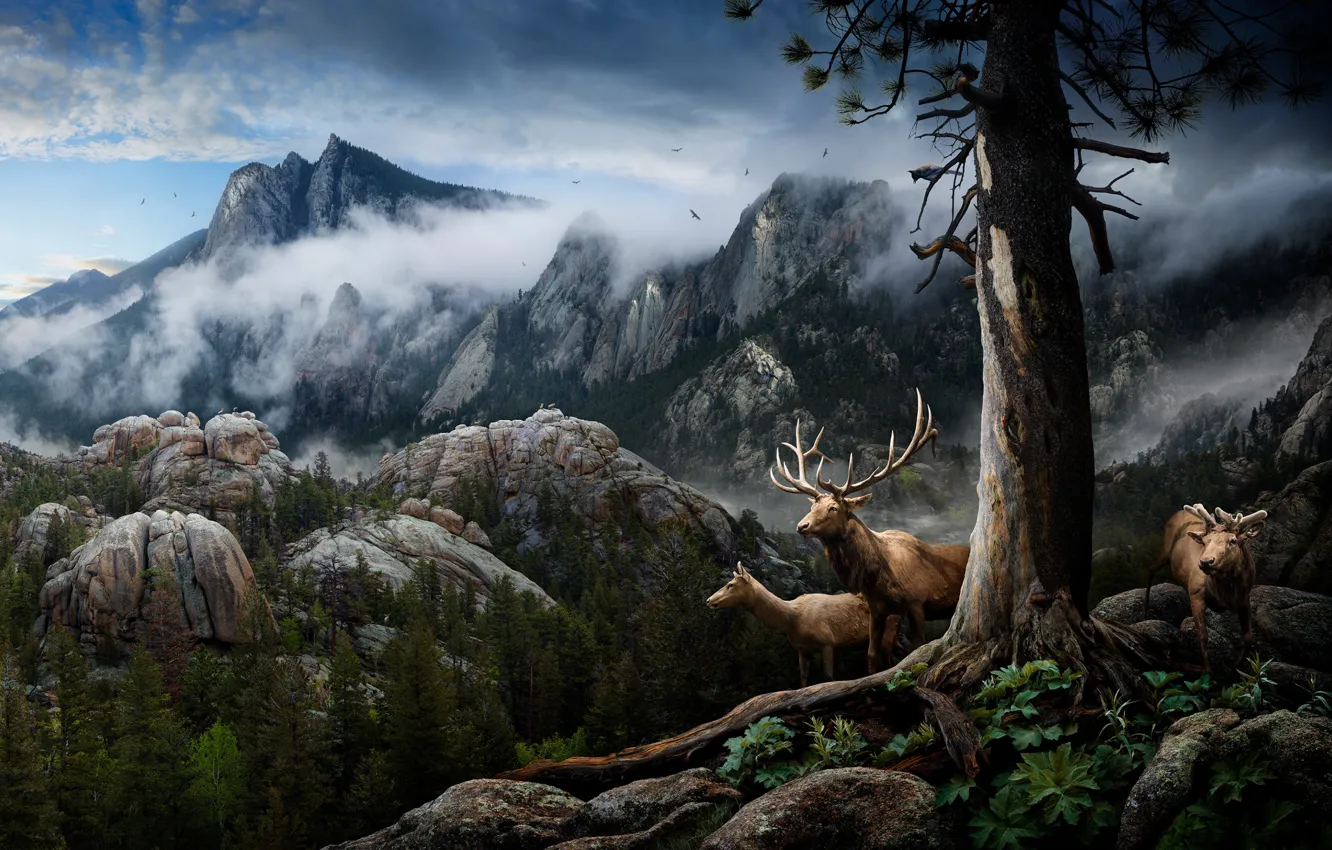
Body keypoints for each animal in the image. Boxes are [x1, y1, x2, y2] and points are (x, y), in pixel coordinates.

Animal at [706, 562, 891, 688]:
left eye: (730, 585)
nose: (709, 600)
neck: (793, 620)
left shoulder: (827, 641)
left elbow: (828, 678)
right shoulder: (802, 650)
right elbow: (803, 679)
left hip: (890, 627)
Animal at [770, 389, 970, 675]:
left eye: (833, 507)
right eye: (812, 506)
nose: (801, 526)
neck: (879, 576)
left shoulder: (917, 603)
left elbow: (917, 650)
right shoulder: (877, 610)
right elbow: (872, 656)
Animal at [1145, 504, 1267, 673]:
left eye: (1233, 540)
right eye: (1205, 541)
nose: (1206, 561)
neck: (1225, 591)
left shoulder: (1244, 597)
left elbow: (1248, 637)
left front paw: (1235, 668)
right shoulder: (1196, 593)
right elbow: (1203, 635)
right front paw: (1207, 670)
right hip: (1164, 548)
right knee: (1150, 569)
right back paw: (1145, 612)